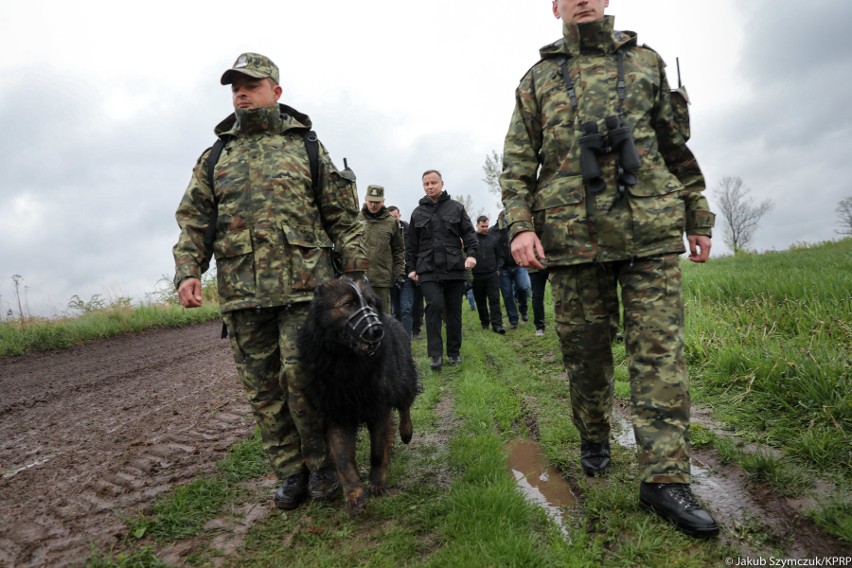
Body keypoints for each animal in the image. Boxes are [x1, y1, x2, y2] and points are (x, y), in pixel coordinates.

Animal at [298, 278, 422, 516]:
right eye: (348, 304)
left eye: (371, 303)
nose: (377, 330)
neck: (346, 361)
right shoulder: (336, 414)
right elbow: (343, 459)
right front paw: (354, 495)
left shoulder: (378, 408)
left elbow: (377, 450)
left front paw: (377, 483)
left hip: (403, 378)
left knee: (405, 405)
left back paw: (406, 432)